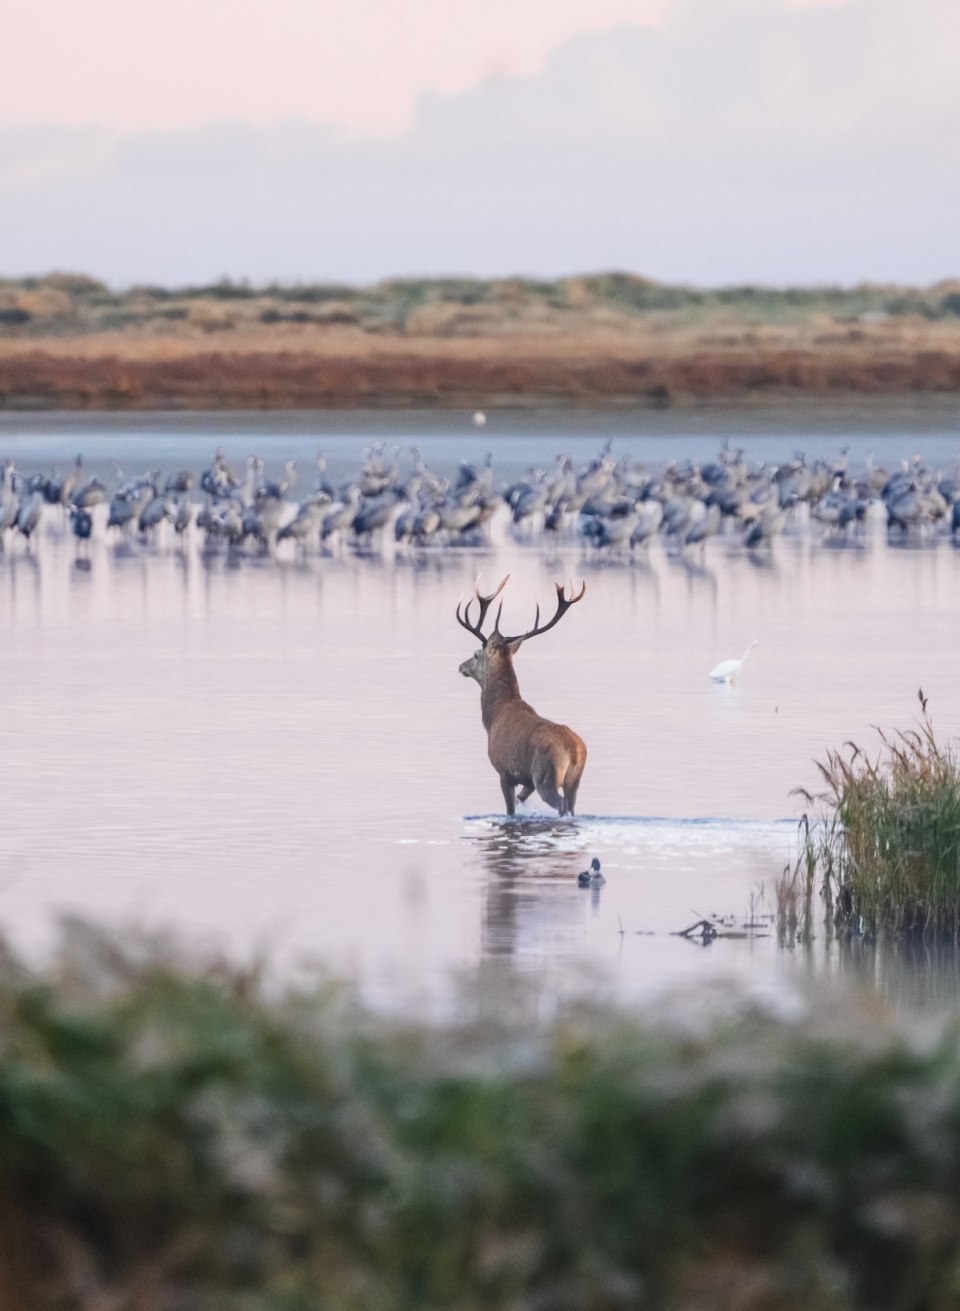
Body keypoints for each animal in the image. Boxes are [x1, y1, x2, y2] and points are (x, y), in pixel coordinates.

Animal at [456, 575, 587, 816]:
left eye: (476, 654)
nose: (461, 666)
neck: (494, 714)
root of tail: (575, 750)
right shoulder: (527, 781)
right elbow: (521, 799)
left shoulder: (504, 771)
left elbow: (510, 809)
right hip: (575, 780)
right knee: (571, 805)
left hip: (546, 774)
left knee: (560, 804)